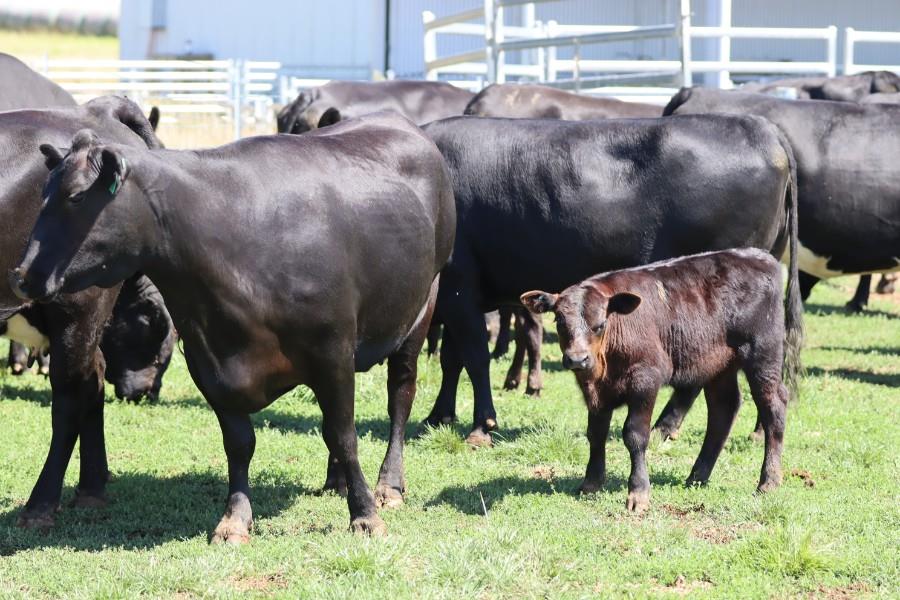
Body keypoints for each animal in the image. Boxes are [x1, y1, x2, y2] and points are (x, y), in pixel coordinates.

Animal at [0, 96, 171, 528]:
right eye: (155, 327)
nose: (146, 391)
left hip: (77, 309)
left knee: (71, 394)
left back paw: (41, 504)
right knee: (93, 379)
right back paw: (91, 488)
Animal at [12, 111, 455, 541]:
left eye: (76, 197)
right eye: (42, 196)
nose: (22, 276)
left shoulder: (331, 352)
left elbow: (343, 436)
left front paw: (364, 517)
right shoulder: (208, 363)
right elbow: (240, 444)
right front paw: (235, 520)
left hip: (422, 308)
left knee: (400, 397)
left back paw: (388, 485)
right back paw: (337, 481)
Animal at [421, 113, 800, 446]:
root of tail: (762, 128)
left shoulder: (459, 288)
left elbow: (474, 357)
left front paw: (481, 426)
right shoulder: (455, 298)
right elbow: (451, 359)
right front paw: (438, 415)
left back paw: (664, 426)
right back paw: (753, 428)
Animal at [521, 248, 799, 513]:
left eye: (600, 324)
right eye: (559, 321)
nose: (578, 359)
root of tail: (760, 256)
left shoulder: (646, 379)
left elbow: (635, 434)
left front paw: (638, 493)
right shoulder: (597, 393)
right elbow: (596, 433)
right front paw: (591, 482)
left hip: (763, 355)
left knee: (773, 406)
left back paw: (768, 481)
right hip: (719, 365)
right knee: (724, 408)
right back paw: (698, 476)